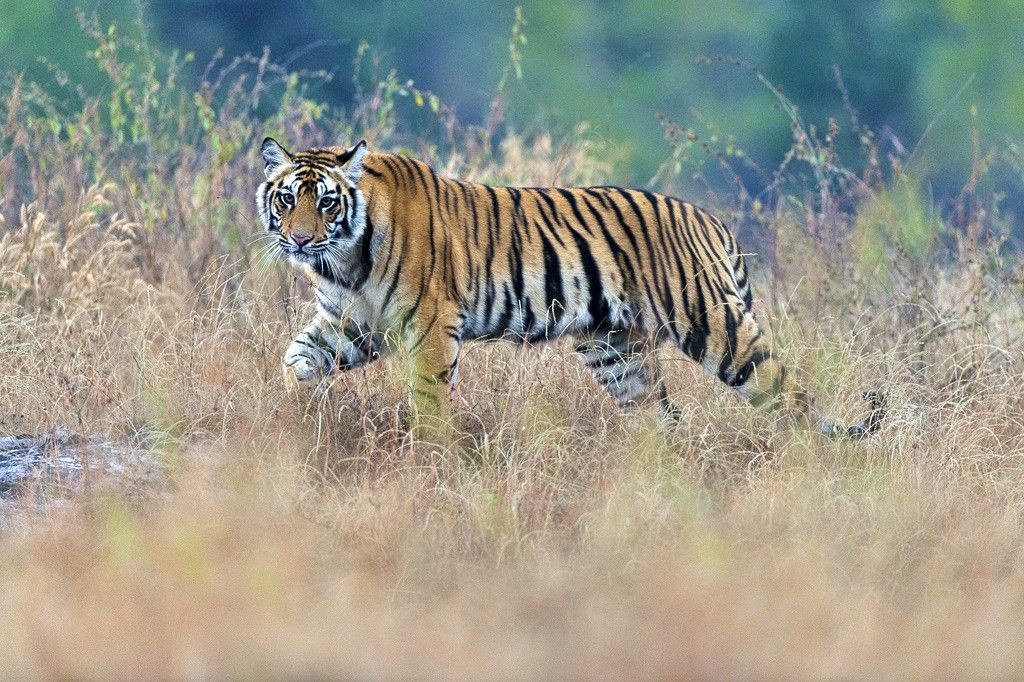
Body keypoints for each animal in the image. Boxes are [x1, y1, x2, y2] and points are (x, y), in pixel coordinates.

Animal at [255, 137, 884, 442]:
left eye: (326, 202)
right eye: (287, 199)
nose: (301, 239)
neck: (342, 260)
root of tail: (710, 219)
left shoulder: (429, 326)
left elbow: (429, 401)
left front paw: (431, 458)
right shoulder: (350, 324)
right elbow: (293, 358)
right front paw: (297, 410)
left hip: (715, 327)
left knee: (789, 395)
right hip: (617, 351)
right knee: (664, 421)